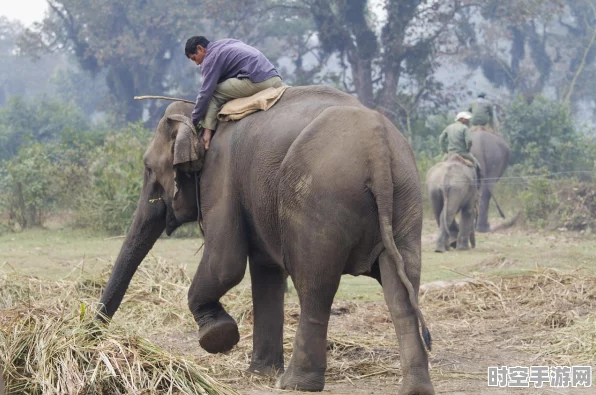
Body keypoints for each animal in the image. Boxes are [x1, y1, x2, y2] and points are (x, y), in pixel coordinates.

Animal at [96, 86, 434, 395]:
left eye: (148, 168)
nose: (94, 334)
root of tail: (377, 150)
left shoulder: (221, 177)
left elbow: (226, 264)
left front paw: (218, 335)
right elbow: (265, 270)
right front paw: (259, 372)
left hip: (320, 201)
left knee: (315, 286)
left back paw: (295, 384)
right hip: (406, 195)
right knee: (402, 289)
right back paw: (415, 389)